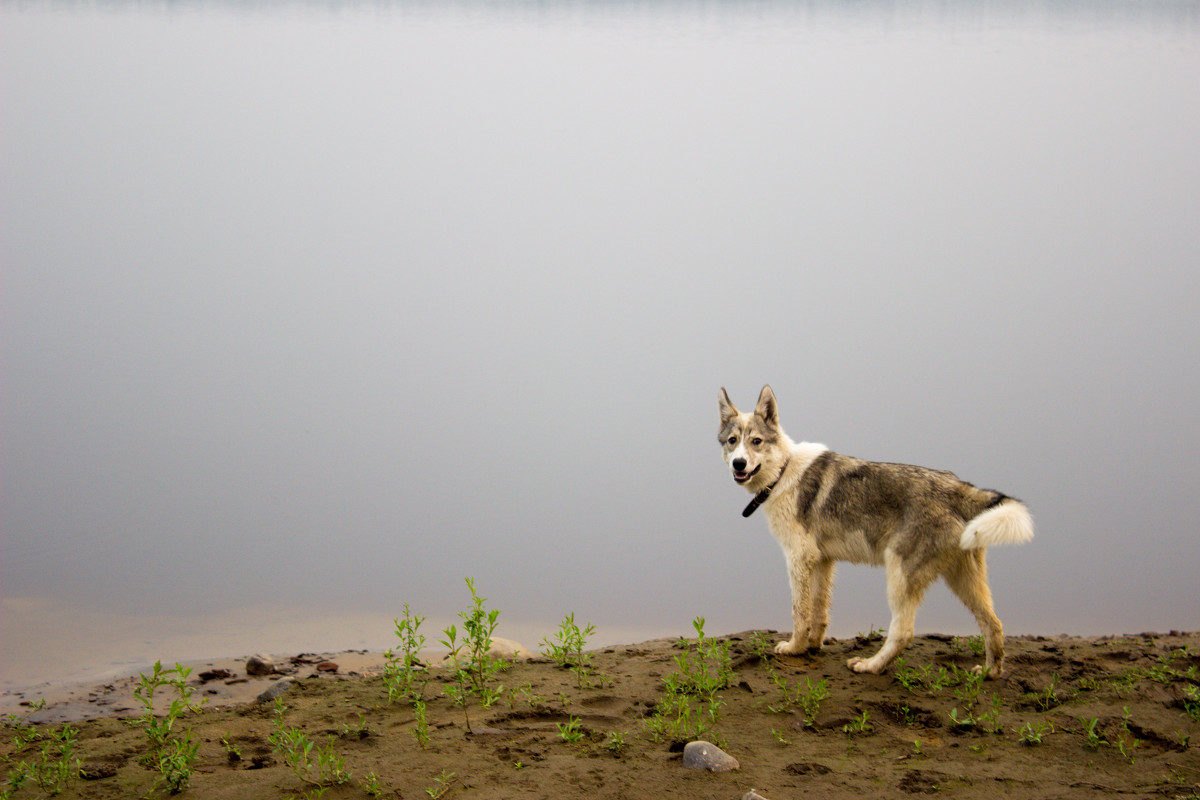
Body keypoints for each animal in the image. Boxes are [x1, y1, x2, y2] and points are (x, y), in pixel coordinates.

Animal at [715, 386, 1036, 676]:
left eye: (756, 441)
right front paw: (813, 646)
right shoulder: (822, 561)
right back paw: (989, 672)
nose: (739, 464)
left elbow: (800, 613)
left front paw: (794, 648)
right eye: (732, 441)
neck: (783, 473)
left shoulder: (798, 558)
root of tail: (957, 486)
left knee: (904, 633)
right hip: (963, 580)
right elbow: (819, 612)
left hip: (900, 575)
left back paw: (870, 666)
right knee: (994, 624)